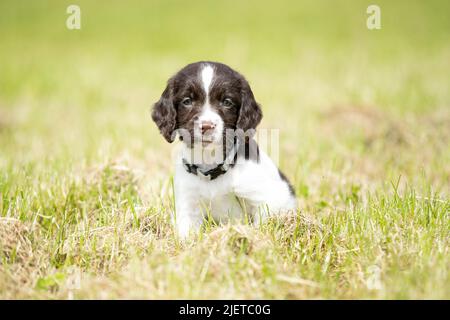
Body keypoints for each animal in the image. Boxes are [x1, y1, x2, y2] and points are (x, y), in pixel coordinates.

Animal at [153, 62, 298, 238]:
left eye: (227, 102)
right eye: (187, 101)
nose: (207, 126)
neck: (211, 167)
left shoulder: (267, 198)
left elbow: (261, 226)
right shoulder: (188, 205)